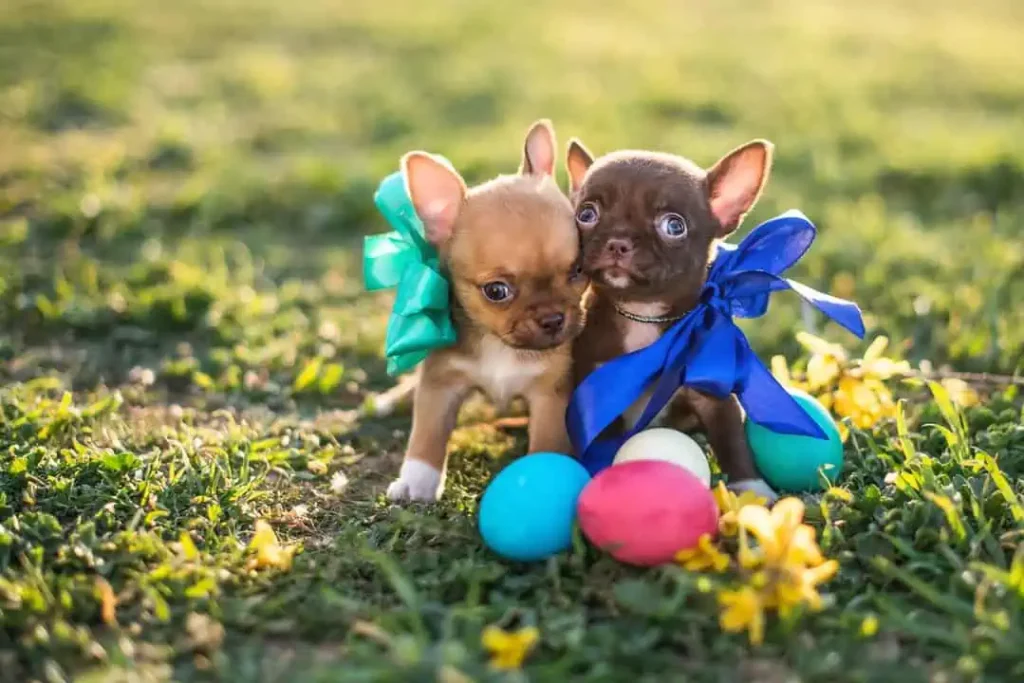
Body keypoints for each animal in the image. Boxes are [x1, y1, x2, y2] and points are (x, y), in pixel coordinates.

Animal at [385, 121, 593, 501]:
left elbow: (546, 443)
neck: (500, 344)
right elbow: (427, 433)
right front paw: (416, 481)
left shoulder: (551, 397)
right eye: (497, 291)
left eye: (577, 271)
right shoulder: (440, 382)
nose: (553, 319)